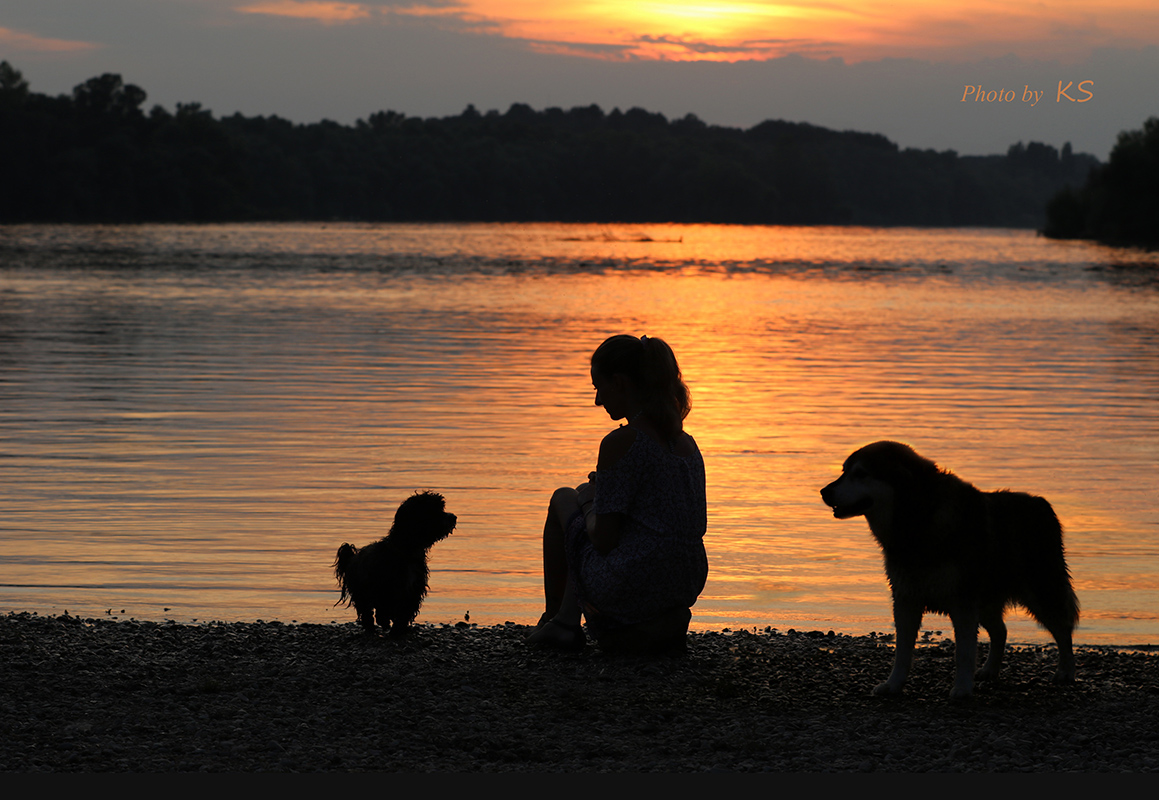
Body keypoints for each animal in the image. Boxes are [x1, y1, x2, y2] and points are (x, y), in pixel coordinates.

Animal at [333, 486, 454, 635]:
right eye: (434, 509)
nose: (453, 517)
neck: (406, 552)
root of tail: (352, 556)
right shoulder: (384, 586)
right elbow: (384, 608)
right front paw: (387, 623)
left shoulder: (413, 590)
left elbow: (404, 612)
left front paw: (398, 629)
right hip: (360, 590)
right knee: (366, 611)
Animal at [820, 442, 1080, 695]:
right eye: (844, 471)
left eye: (860, 473)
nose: (824, 492)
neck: (917, 518)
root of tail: (1042, 503)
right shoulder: (906, 598)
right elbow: (902, 653)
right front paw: (893, 685)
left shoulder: (962, 601)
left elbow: (963, 652)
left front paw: (962, 689)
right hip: (986, 600)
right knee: (1001, 631)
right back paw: (990, 670)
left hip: (1040, 592)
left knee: (1063, 630)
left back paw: (1066, 672)